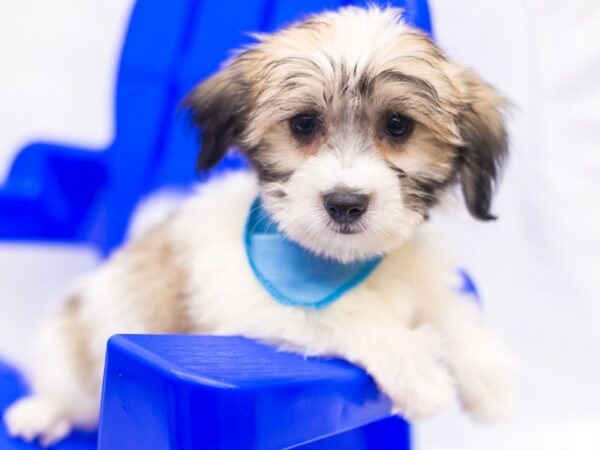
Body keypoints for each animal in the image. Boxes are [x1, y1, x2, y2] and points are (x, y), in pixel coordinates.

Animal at [2, 7, 512, 446]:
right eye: (303, 124)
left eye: (399, 125)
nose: (345, 203)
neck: (343, 263)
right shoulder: (251, 306)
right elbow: (341, 313)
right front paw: (417, 367)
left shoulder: (420, 278)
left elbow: (445, 309)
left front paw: (484, 372)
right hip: (71, 344)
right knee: (65, 386)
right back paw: (41, 413)